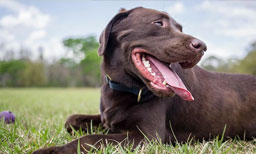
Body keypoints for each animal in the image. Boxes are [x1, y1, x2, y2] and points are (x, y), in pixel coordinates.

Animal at [33, 6, 256, 153]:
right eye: (158, 23)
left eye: (180, 28)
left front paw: (51, 150)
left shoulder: (147, 137)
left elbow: (91, 139)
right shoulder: (108, 120)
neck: (123, 87)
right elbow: (71, 119)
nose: (202, 46)